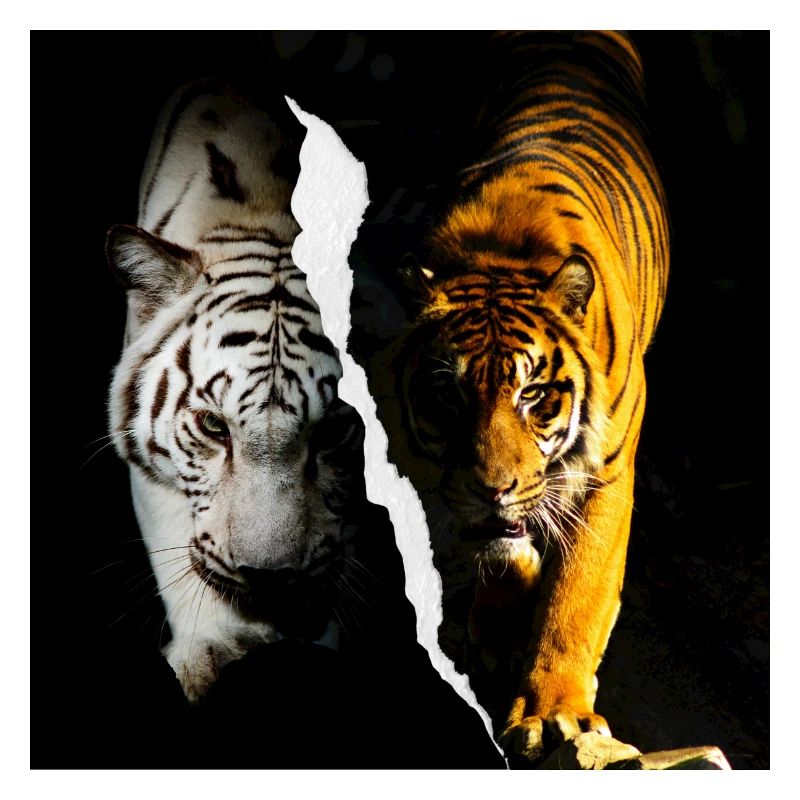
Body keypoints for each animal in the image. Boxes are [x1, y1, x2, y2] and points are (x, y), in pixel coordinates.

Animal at [382, 31, 670, 763]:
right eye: (447, 396)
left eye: (535, 394)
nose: (495, 487)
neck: (500, 257)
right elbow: (501, 547)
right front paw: (501, 613)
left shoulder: (606, 477)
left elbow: (576, 601)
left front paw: (553, 715)